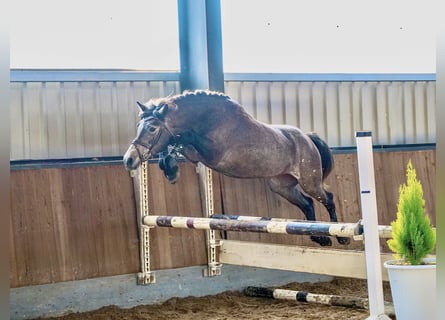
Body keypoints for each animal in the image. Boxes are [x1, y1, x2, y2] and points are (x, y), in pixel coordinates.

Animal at [123, 90, 348, 248]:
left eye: (152, 128)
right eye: (138, 126)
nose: (128, 159)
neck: (210, 119)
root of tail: (307, 138)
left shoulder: (212, 153)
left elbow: (183, 139)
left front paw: (171, 168)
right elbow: (173, 144)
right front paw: (170, 169)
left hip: (309, 181)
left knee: (327, 198)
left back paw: (339, 237)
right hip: (281, 186)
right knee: (307, 204)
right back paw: (319, 237)